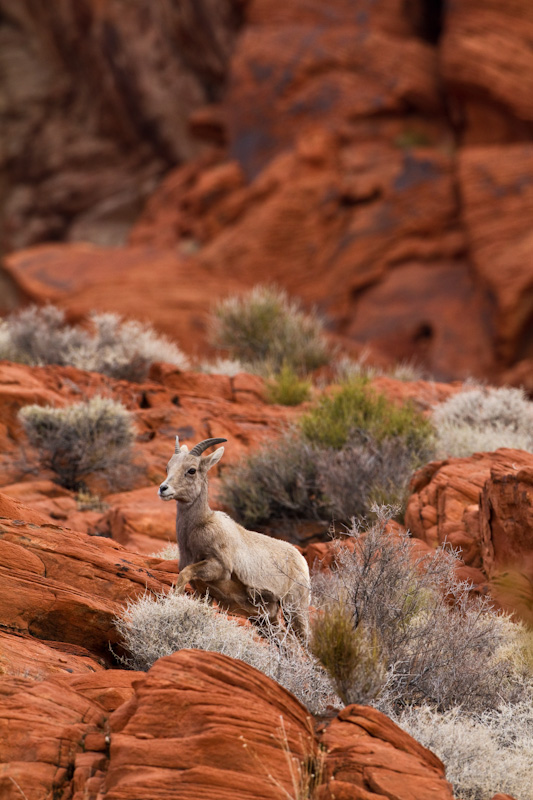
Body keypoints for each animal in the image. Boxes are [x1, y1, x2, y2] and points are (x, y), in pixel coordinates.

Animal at [156, 434, 310, 640]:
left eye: (191, 470)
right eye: (168, 467)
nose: (163, 489)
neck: (198, 528)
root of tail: (301, 560)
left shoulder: (218, 567)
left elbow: (184, 574)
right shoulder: (203, 593)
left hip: (294, 609)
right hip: (265, 620)